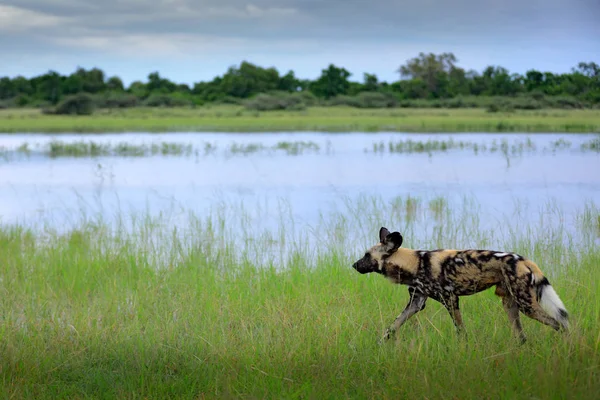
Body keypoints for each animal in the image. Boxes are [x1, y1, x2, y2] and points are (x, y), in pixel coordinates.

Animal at [354, 227, 568, 342]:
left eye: (366, 255)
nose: (354, 265)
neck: (416, 263)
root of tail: (523, 260)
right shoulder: (416, 303)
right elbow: (392, 327)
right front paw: (379, 345)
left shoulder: (451, 299)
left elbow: (461, 330)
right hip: (510, 304)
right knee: (522, 336)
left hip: (526, 305)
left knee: (559, 323)